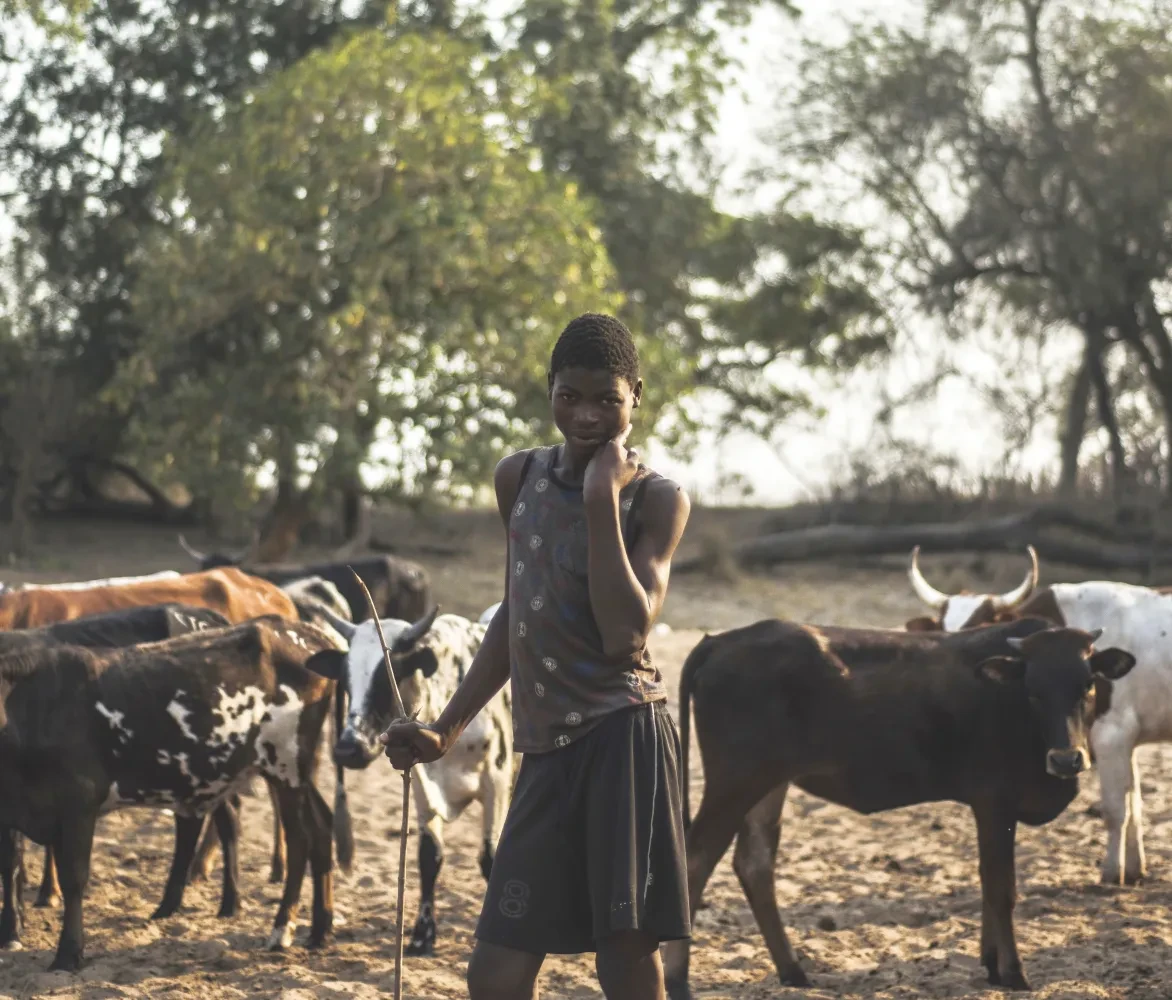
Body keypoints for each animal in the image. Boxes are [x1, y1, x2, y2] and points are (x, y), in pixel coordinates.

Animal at [0, 614, 346, 970]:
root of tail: (300, 630)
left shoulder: (79, 804)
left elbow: (73, 878)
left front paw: (68, 953)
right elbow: (12, 868)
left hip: (286, 767)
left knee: (300, 839)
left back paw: (282, 929)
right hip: (295, 774)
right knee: (321, 828)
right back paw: (320, 930)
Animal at [302, 604, 513, 956]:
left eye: (387, 677)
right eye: (345, 678)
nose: (348, 749)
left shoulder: (495, 782)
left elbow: (490, 858)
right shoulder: (422, 783)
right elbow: (430, 855)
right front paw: (422, 933)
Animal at [665, 614, 1139, 994]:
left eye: (1087, 685)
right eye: (1034, 690)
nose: (1066, 759)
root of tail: (723, 639)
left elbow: (987, 881)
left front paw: (991, 964)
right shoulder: (995, 801)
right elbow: (1001, 887)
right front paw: (1014, 973)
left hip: (768, 784)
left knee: (755, 863)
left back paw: (793, 970)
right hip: (735, 782)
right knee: (694, 862)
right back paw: (677, 979)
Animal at [909, 550, 1172, 886]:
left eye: (978, 629)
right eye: (940, 632)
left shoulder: (1112, 734)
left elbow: (1116, 809)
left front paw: (1113, 873)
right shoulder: (1128, 741)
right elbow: (1134, 803)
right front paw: (1136, 869)